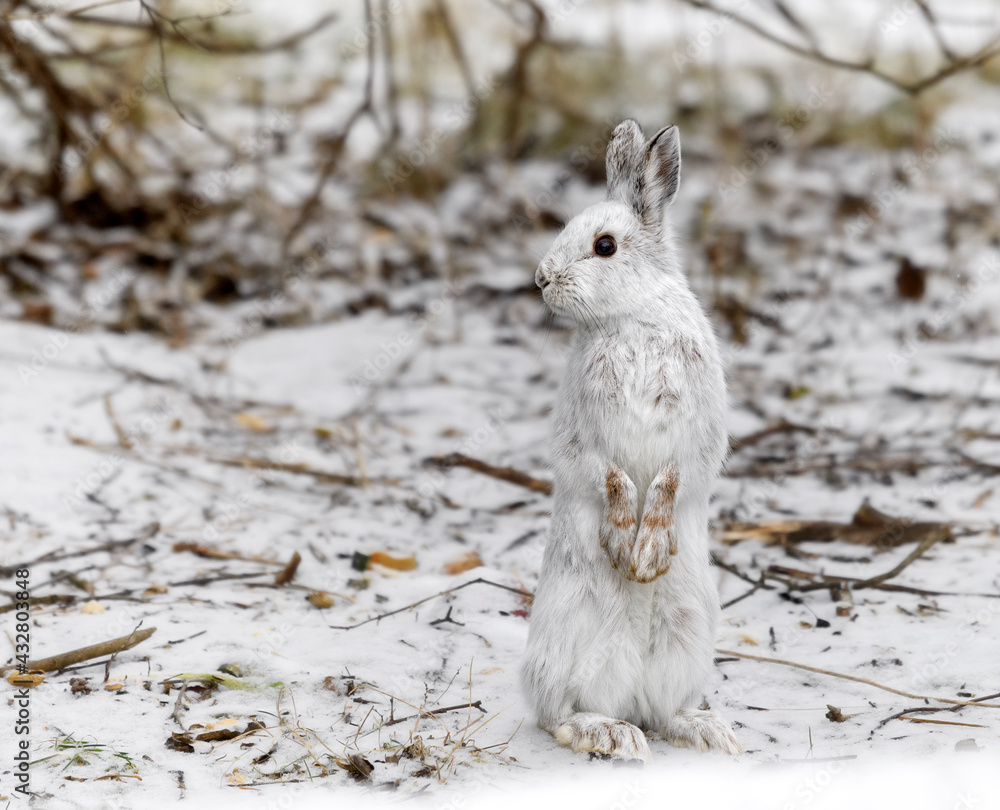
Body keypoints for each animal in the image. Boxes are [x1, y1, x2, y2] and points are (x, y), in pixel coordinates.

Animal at [520, 119, 740, 762]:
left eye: (605, 246)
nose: (541, 280)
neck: (632, 317)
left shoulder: (698, 437)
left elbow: (670, 479)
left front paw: (647, 556)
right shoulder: (582, 439)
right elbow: (612, 476)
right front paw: (626, 548)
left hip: (691, 633)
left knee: (664, 710)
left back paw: (705, 731)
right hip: (567, 634)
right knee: (557, 713)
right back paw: (607, 733)